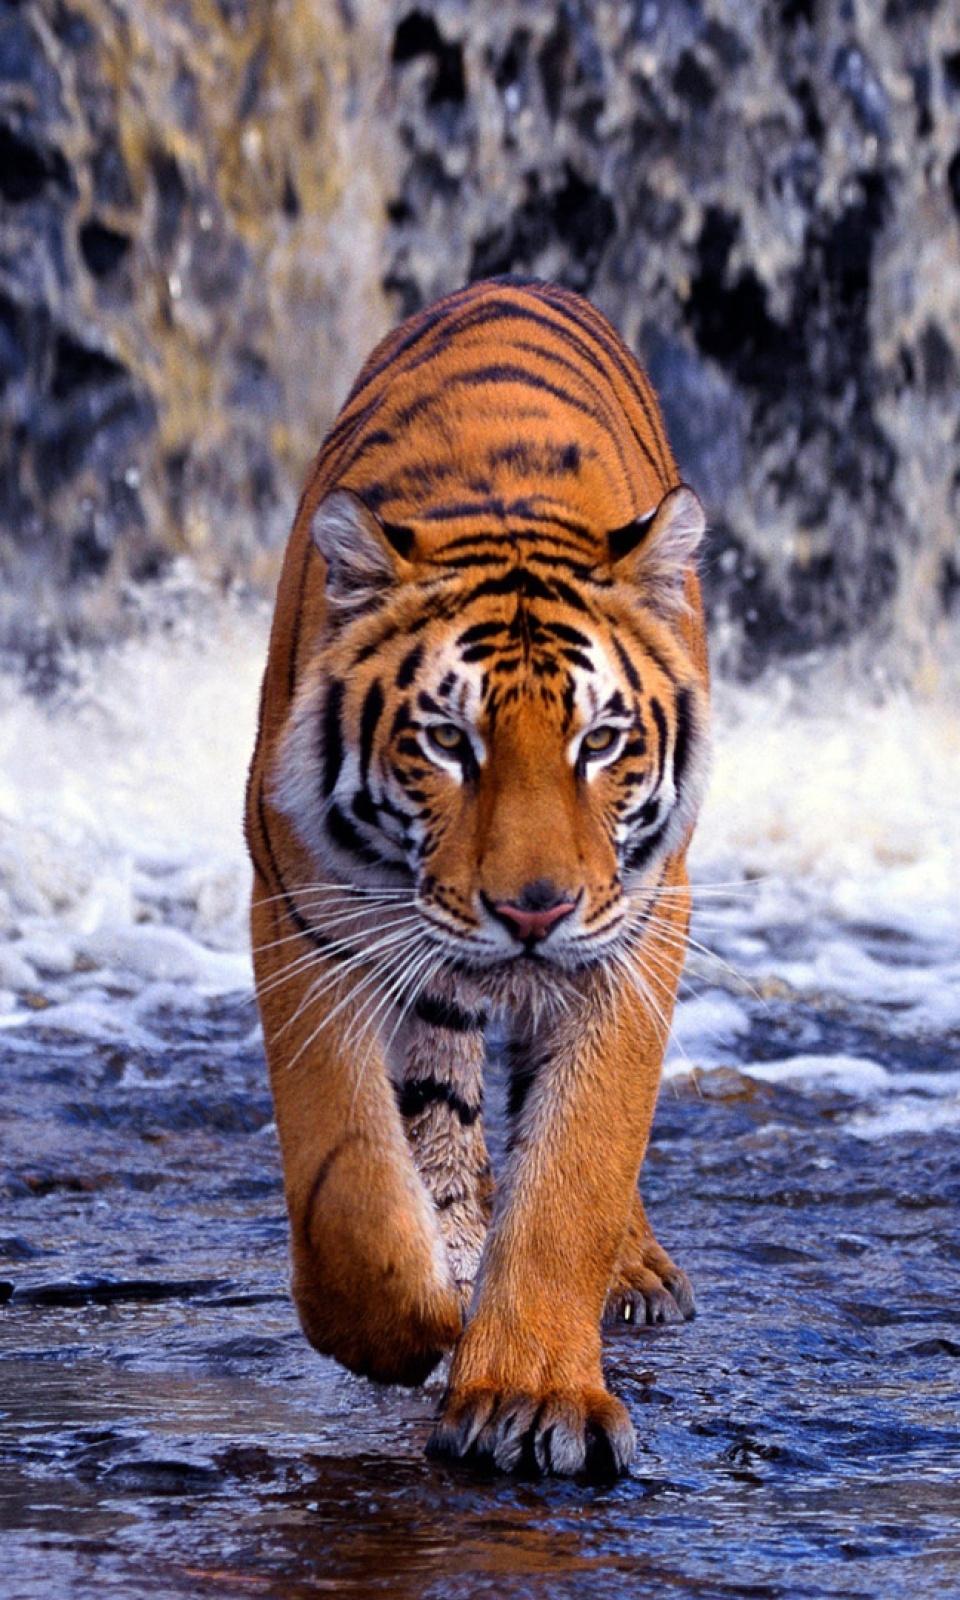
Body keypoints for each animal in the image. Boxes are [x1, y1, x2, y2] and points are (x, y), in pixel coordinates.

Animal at [245, 275, 710, 1481]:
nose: (532, 910)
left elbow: (577, 1168)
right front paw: (408, 1324)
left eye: (601, 741)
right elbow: (349, 1178)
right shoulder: (306, 913)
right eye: (448, 741)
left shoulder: (636, 930)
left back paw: (632, 1271)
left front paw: (531, 1393)